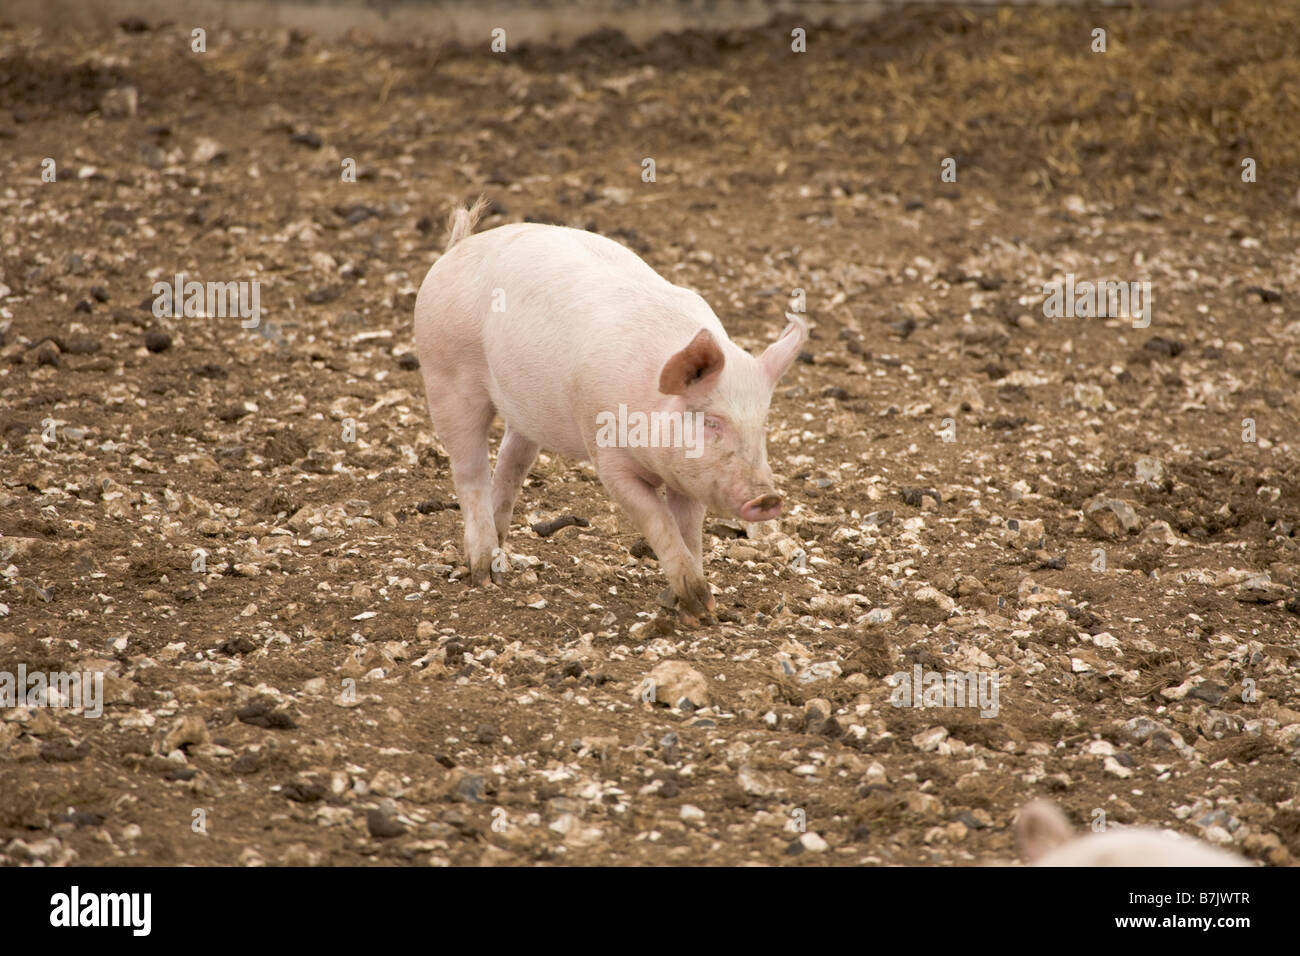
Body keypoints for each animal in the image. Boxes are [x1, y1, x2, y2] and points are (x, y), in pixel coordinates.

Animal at [410, 197, 806, 624]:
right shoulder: (607, 454)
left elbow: (689, 528)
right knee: (470, 470)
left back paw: (502, 564)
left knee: (512, 461)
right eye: (712, 421)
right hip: (445, 375)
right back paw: (482, 573)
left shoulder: (691, 475)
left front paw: (698, 612)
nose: (767, 499)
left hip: (524, 411)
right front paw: (697, 603)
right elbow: (657, 519)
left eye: (762, 425)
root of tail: (457, 248)